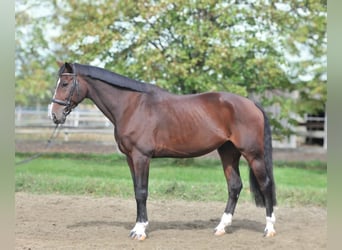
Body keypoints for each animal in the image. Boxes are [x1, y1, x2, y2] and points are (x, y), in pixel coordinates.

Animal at [50, 62, 276, 240]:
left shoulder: (141, 157)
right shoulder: (130, 158)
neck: (132, 106)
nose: (54, 115)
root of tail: (252, 104)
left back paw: (269, 228)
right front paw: (138, 226)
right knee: (234, 186)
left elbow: (142, 192)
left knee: (265, 185)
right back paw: (221, 227)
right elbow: (136, 190)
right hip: (228, 152)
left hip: (253, 154)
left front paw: (139, 231)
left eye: (65, 84)